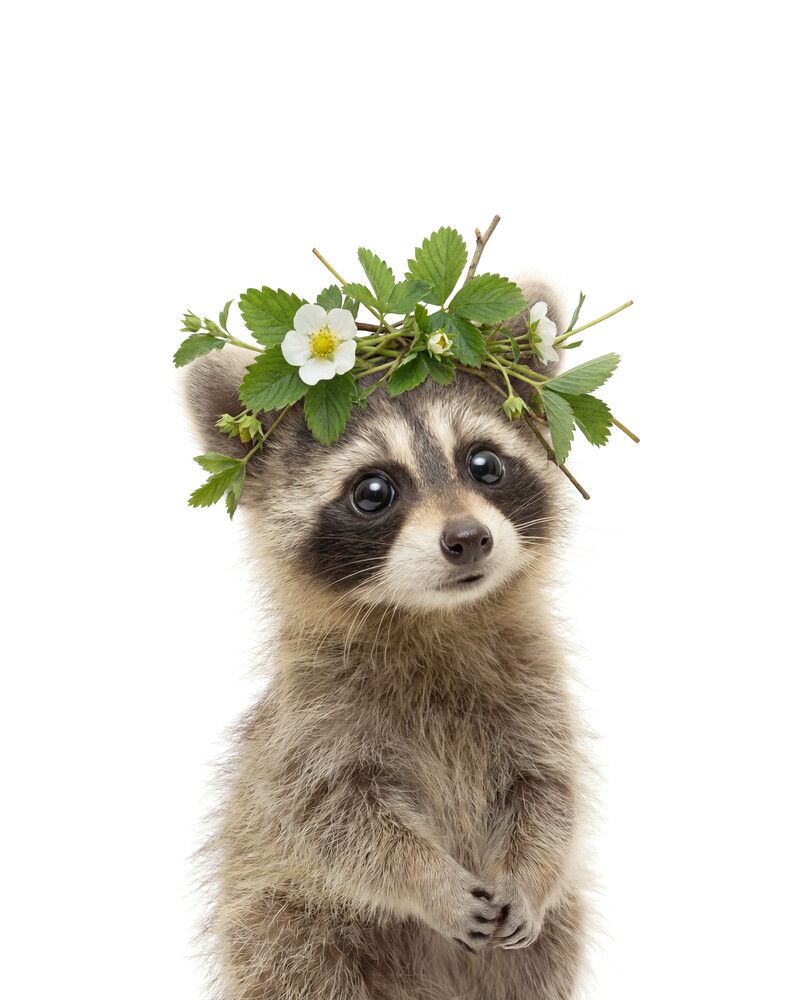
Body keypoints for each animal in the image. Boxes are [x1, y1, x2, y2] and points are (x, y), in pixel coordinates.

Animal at [184, 280, 589, 1000]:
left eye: (484, 464)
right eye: (374, 490)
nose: (468, 539)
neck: (435, 618)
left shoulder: (536, 690)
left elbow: (548, 791)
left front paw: (530, 871)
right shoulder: (311, 724)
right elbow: (340, 822)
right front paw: (429, 881)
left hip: (549, 939)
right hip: (287, 923)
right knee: (298, 963)